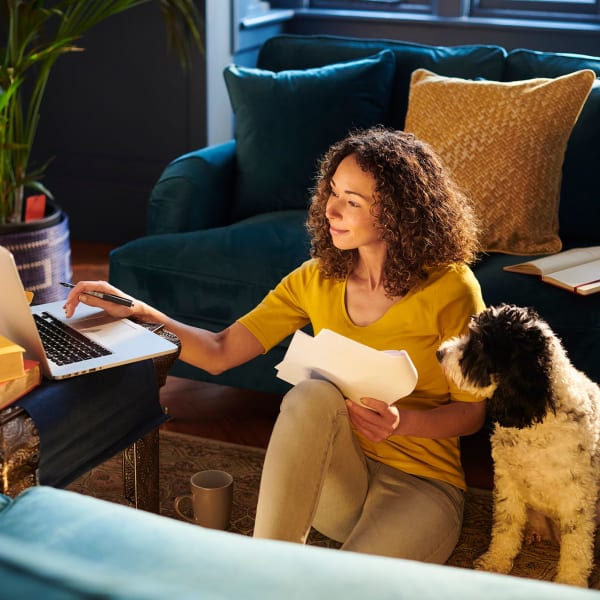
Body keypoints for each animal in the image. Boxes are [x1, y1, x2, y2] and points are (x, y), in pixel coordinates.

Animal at [436, 304, 600, 584]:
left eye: (478, 344)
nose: (439, 353)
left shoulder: (577, 496)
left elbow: (576, 550)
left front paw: (569, 582)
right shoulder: (508, 481)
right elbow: (506, 526)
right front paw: (495, 561)